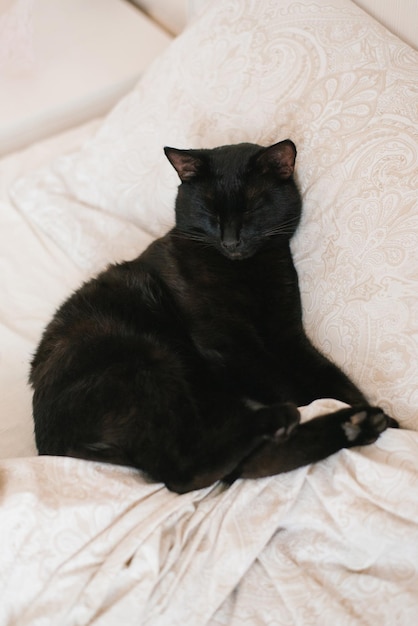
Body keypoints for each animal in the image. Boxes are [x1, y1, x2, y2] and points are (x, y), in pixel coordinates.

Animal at [31, 141, 396, 492]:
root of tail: (52, 446)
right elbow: (289, 386)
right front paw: (324, 405)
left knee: (240, 463)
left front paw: (380, 416)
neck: (248, 271)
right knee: (185, 472)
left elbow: (330, 376)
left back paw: (358, 425)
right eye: (209, 211)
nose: (231, 240)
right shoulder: (229, 343)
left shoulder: (288, 334)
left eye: (251, 209)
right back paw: (285, 419)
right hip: (142, 360)